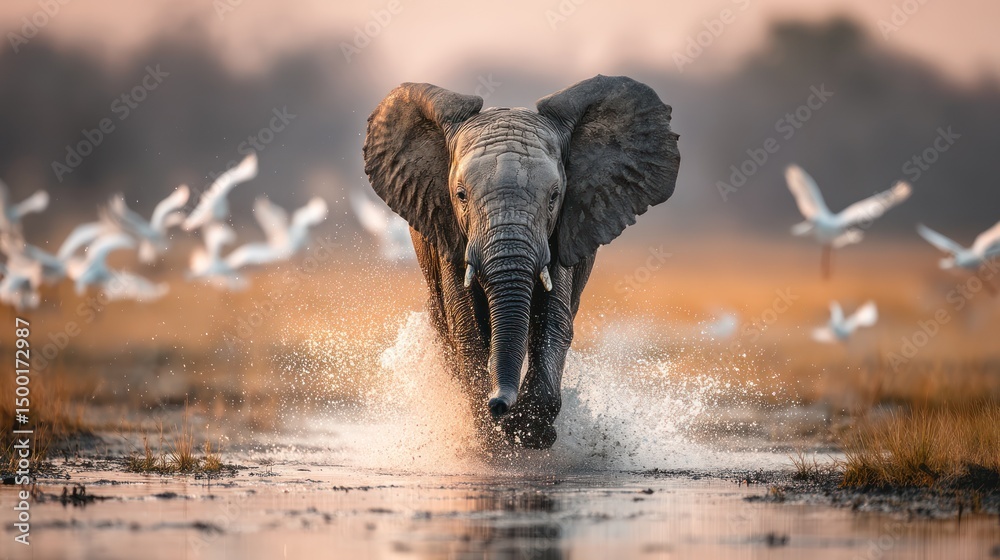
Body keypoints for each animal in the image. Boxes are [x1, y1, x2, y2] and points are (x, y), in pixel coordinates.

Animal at [362, 75, 680, 449]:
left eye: (554, 197)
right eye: (460, 195)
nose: (499, 404)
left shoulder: (564, 227)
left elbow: (553, 320)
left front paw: (529, 434)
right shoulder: (447, 227)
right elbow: (466, 327)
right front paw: (492, 437)